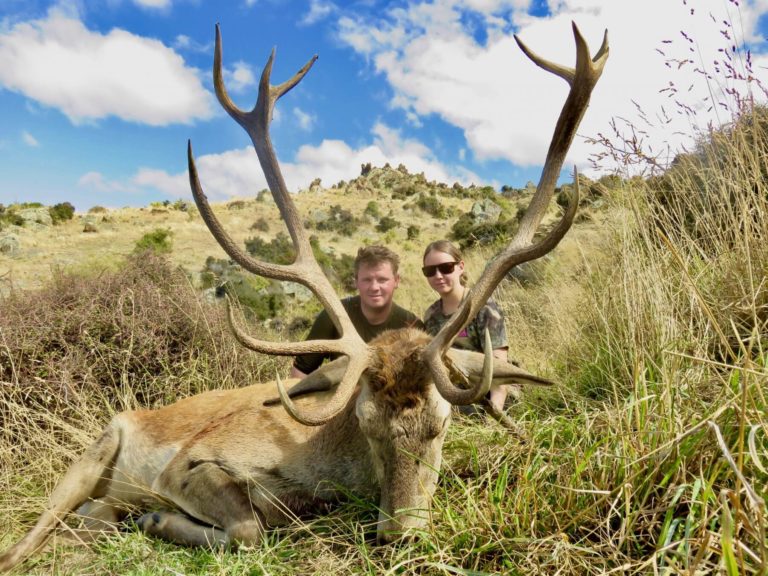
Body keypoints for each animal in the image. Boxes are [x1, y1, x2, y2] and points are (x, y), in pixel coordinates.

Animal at [0, 22, 608, 572]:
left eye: (440, 427)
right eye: (367, 426)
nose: (401, 536)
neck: (333, 462)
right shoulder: (185, 464)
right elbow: (249, 526)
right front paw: (160, 519)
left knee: (90, 520)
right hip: (96, 449)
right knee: (25, 542)